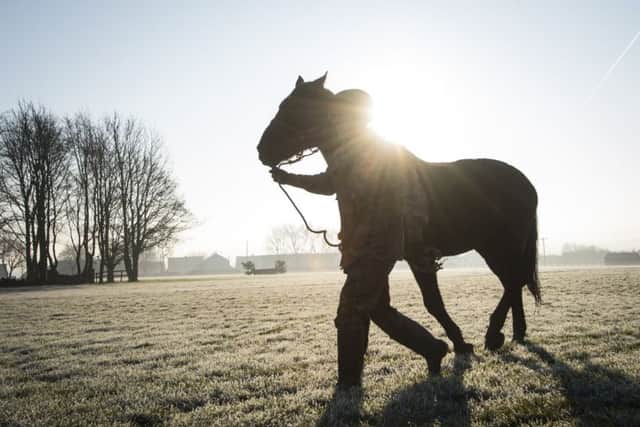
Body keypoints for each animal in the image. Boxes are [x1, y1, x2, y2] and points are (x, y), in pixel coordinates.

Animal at [257, 74, 540, 352]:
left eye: (295, 109)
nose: (262, 150)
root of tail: (526, 184)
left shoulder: (419, 255)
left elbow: (433, 302)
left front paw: (459, 342)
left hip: (501, 246)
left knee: (514, 281)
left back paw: (494, 334)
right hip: (493, 248)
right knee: (513, 283)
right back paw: (516, 332)